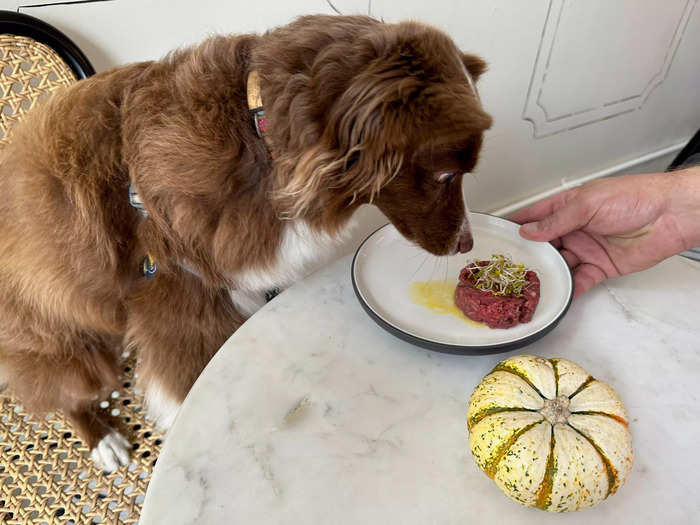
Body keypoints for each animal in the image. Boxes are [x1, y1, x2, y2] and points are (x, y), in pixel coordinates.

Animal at [0, 14, 492, 468]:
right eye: (446, 175)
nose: (467, 244)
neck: (261, 135)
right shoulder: (178, 304)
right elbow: (185, 386)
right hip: (65, 344)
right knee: (61, 394)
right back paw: (102, 439)